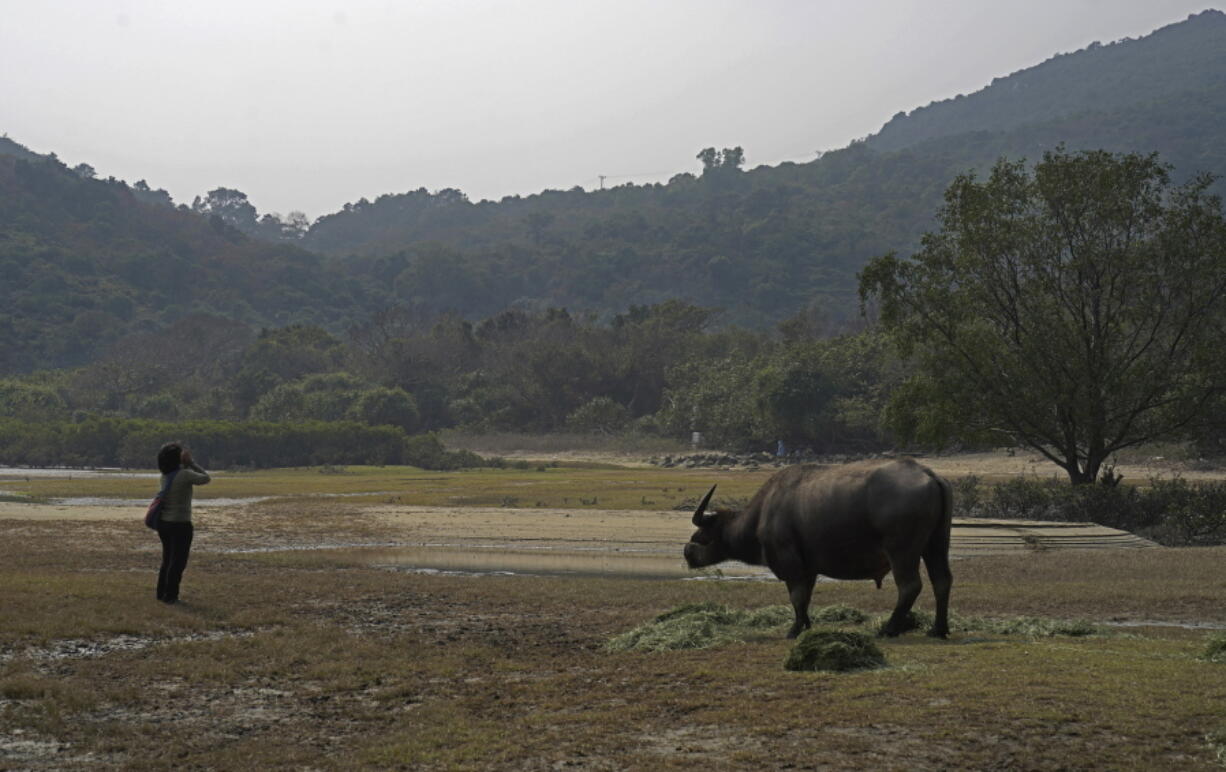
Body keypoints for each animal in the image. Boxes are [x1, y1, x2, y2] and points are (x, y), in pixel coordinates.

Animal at [686, 460, 951, 642]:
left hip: (901, 551)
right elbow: (805, 598)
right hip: (936, 544)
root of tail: (927, 474)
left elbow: (796, 596)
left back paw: (889, 628)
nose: (687, 553)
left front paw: (794, 629)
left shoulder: (790, 564)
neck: (762, 514)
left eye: (701, 535)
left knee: (909, 586)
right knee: (942, 581)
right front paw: (806, 625)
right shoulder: (809, 570)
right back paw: (938, 629)